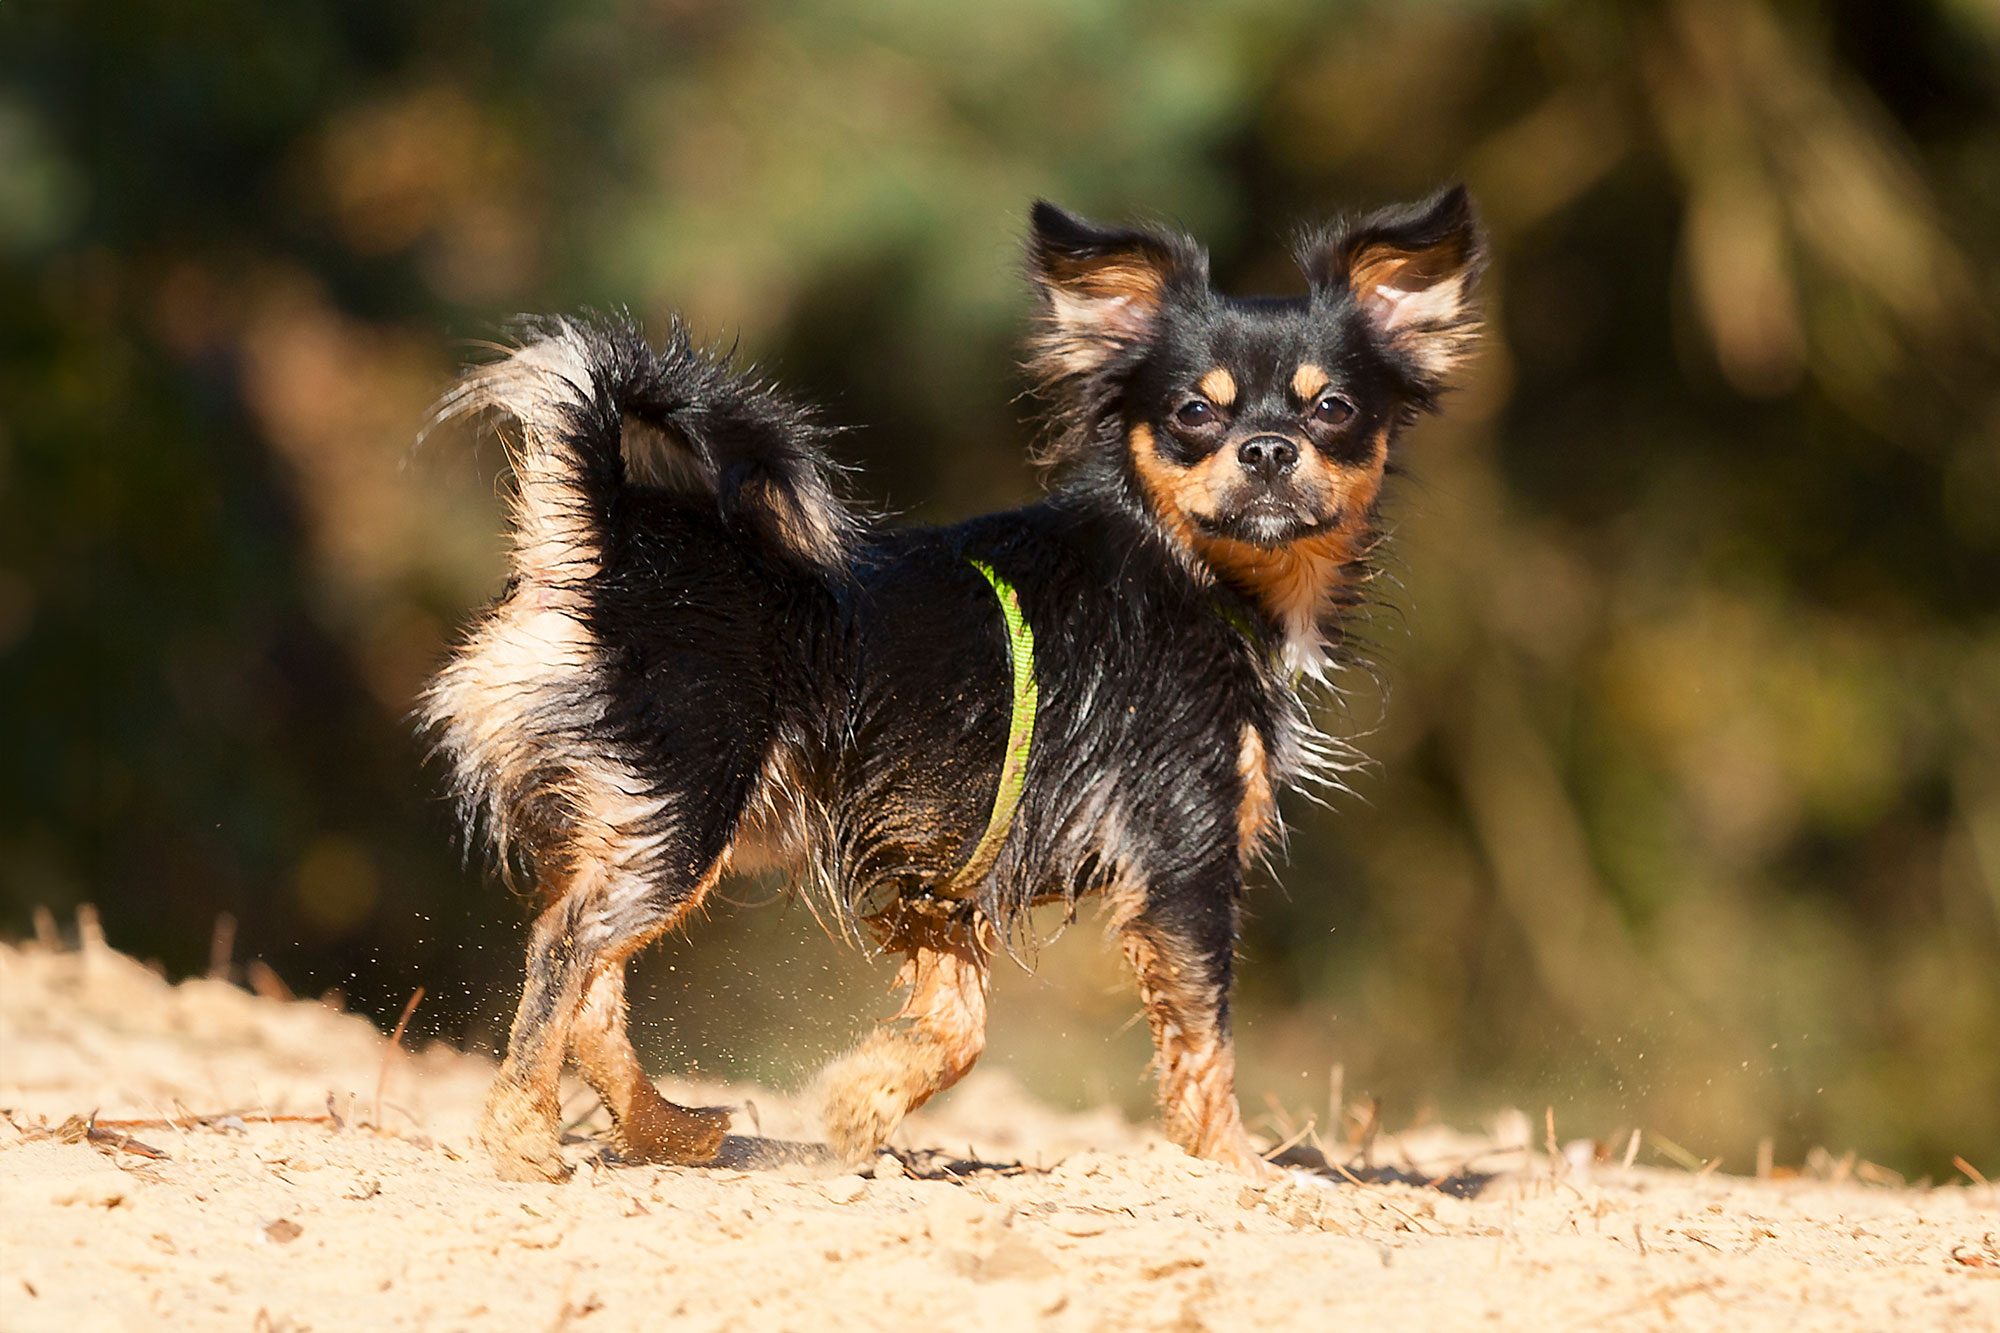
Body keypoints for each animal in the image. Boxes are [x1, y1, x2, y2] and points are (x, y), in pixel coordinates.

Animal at [422, 187, 1488, 1176]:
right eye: (1194, 413)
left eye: (1333, 408)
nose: (1267, 449)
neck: (1190, 565)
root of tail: (604, 546)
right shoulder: (1182, 853)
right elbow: (1201, 1038)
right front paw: (1234, 1169)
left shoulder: (930, 876)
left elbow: (959, 1031)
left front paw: (860, 1103)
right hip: (684, 811)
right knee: (566, 949)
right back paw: (522, 1136)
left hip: (638, 823)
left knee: (593, 982)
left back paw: (665, 1128)